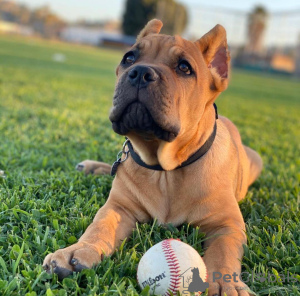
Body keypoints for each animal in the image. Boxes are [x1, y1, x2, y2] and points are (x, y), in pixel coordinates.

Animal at [42, 19, 262, 294]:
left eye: (184, 67)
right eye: (129, 58)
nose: (139, 73)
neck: (166, 170)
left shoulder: (227, 224)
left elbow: (224, 251)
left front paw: (224, 284)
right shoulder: (118, 207)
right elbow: (99, 227)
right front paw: (78, 251)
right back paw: (92, 167)